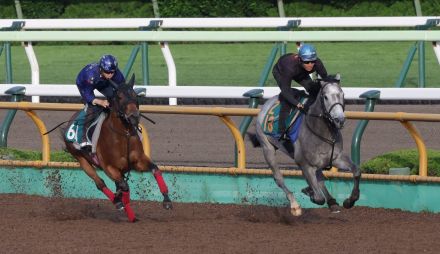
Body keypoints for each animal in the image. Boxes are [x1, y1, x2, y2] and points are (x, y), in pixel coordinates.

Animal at [63, 74, 172, 222]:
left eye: (135, 95)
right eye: (119, 97)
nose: (134, 116)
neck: (123, 135)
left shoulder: (138, 161)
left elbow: (155, 170)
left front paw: (167, 200)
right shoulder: (109, 167)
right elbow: (124, 186)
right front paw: (128, 211)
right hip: (81, 159)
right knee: (100, 183)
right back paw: (118, 202)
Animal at [253, 74, 360, 216]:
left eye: (342, 94)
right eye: (325, 97)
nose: (340, 120)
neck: (322, 131)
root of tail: (267, 103)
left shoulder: (336, 158)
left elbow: (356, 171)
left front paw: (350, 201)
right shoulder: (305, 164)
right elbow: (319, 198)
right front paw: (309, 193)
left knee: (319, 179)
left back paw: (332, 202)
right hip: (267, 148)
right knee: (278, 178)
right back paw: (295, 205)